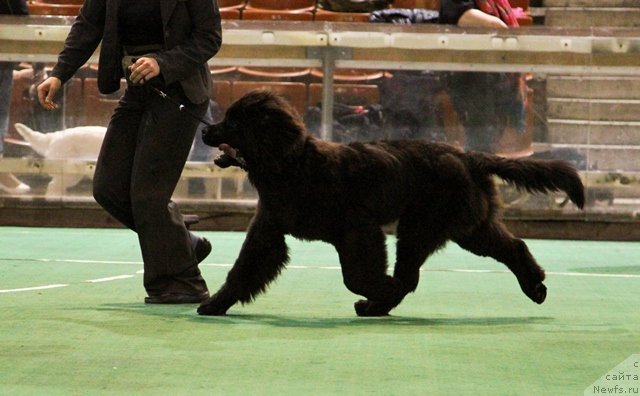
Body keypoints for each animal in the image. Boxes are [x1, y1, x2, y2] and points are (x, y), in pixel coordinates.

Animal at [200, 91, 584, 318]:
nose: (204, 131)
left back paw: (377, 302)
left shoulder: (358, 230)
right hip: (467, 227)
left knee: (411, 276)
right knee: (513, 247)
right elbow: (242, 271)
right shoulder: (268, 229)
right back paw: (535, 287)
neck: (292, 166)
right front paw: (215, 304)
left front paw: (381, 288)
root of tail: (469, 156)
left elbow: (355, 276)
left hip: (424, 227)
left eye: (234, 122)